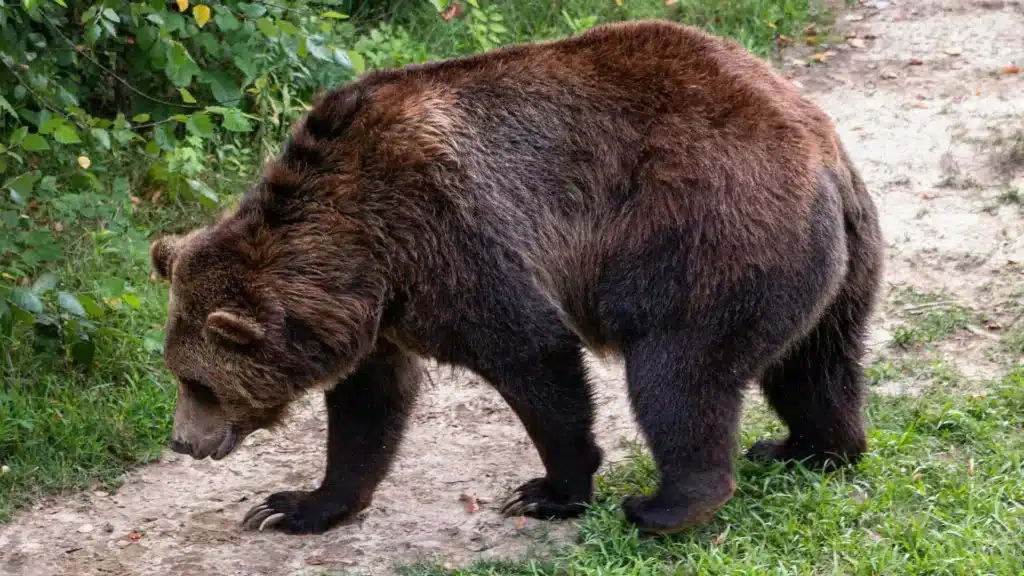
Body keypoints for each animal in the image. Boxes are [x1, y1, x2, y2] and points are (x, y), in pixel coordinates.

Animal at [150, 19, 884, 536]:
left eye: (200, 382)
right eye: (179, 374)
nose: (184, 441)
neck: (360, 250)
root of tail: (822, 151)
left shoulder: (450, 237)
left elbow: (533, 356)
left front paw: (550, 490)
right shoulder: (378, 312)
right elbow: (368, 407)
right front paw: (295, 505)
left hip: (707, 239)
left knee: (679, 373)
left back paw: (667, 505)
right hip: (835, 266)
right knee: (816, 364)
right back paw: (806, 447)